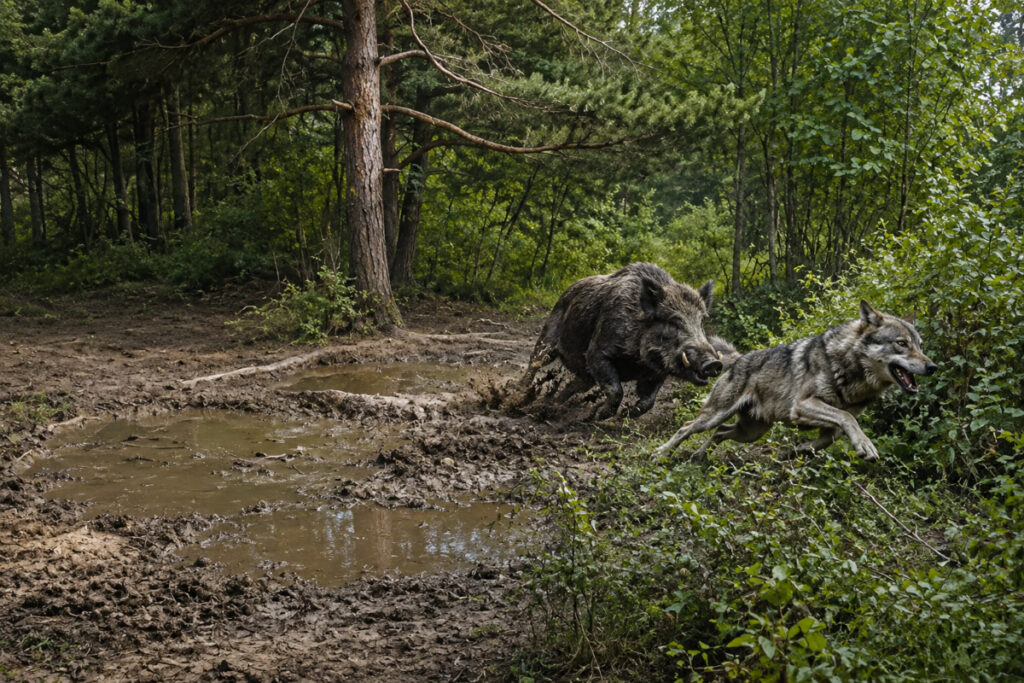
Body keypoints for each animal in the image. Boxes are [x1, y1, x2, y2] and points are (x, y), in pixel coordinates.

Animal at [655, 300, 937, 461]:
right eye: (902, 344)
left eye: (921, 345)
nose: (932, 366)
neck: (849, 370)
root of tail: (738, 359)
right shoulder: (802, 406)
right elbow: (848, 417)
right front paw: (865, 446)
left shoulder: (829, 428)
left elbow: (829, 437)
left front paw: (794, 451)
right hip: (716, 415)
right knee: (686, 428)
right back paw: (660, 455)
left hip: (752, 432)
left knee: (720, 432)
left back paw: (699, 457)